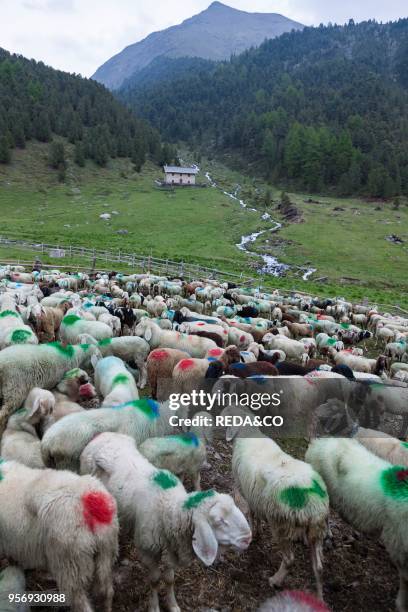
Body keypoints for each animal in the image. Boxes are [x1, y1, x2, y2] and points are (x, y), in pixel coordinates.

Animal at [79, 430, 252, 612]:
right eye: (219, 521)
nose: (248, 539)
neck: (168, 507)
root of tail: (102, 435)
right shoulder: (148, 550)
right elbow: (155, 580)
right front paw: (154, 606)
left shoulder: (172, 546)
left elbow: (169, 579)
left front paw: (173, 604)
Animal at [225, 404, 330, 600]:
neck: (248, 432)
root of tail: (313, 506)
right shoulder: (254, 495)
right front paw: (257, 532)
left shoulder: (245, 491)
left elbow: (251, 514)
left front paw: (254, 533)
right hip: (316, 531)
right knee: (319, 568)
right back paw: (319, 597)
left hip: (281, 524)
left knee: (289, 560)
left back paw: (275, 580)